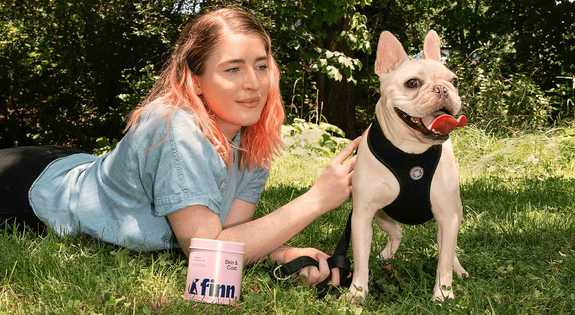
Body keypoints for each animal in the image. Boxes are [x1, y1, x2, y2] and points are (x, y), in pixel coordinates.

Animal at [348, 30, 470, 304]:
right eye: (412, 83)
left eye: (454, 81)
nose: (442, 89)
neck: (410, 152)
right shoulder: (362, 215)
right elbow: (360, 261)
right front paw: (357, 293)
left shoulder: (447, 216)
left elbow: (443, 261)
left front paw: (443, 293)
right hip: (382, 215)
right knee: (396, 232)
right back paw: (386, 255)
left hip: (455, 213)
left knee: (449, 249)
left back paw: (458, 269)